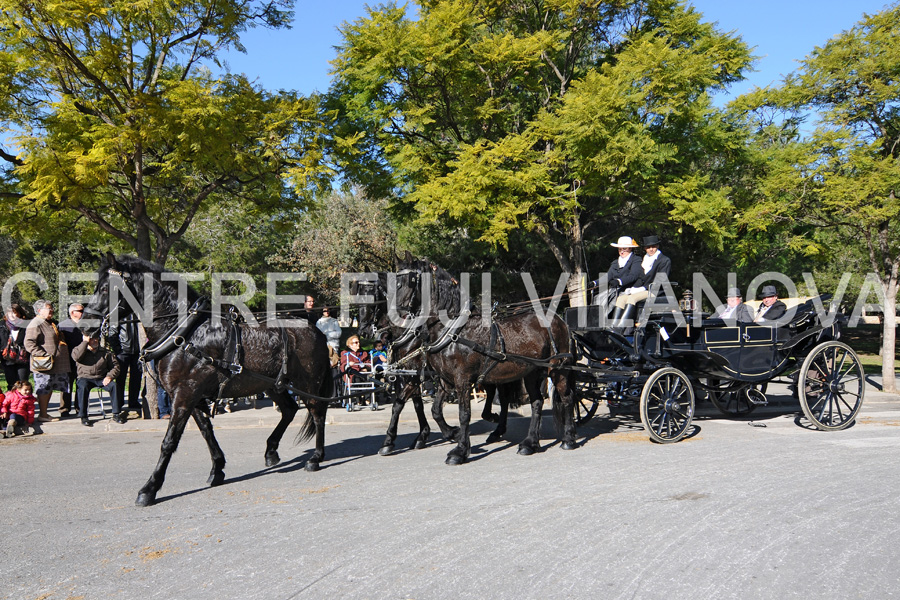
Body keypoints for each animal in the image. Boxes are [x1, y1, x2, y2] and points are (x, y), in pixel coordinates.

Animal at [81, 254, 330, 506]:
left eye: (105, 288)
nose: (85, 324)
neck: (183, 334)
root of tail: (315, 329)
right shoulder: (193, 396)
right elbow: (206, 430)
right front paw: (217, 468)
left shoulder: (185, 394)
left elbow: (169, 441)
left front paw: (150, 488)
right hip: (273, 385)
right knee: (289, 410)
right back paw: (271, 451)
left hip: (308, 383)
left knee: (318, 413)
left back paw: (316, 457)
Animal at [392, 253, 576, 464]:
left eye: (410, 281)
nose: (396, 315)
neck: (455, 330)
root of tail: (560, 320)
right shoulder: (446, 381)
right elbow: (437, 410)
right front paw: (454, 436)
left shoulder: (462, 380)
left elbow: (464, 414)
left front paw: (460, 451)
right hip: (532, 371)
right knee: (536, 402)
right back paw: (530, 443)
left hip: (558, 369)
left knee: (567, 398)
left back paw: (568, 439)